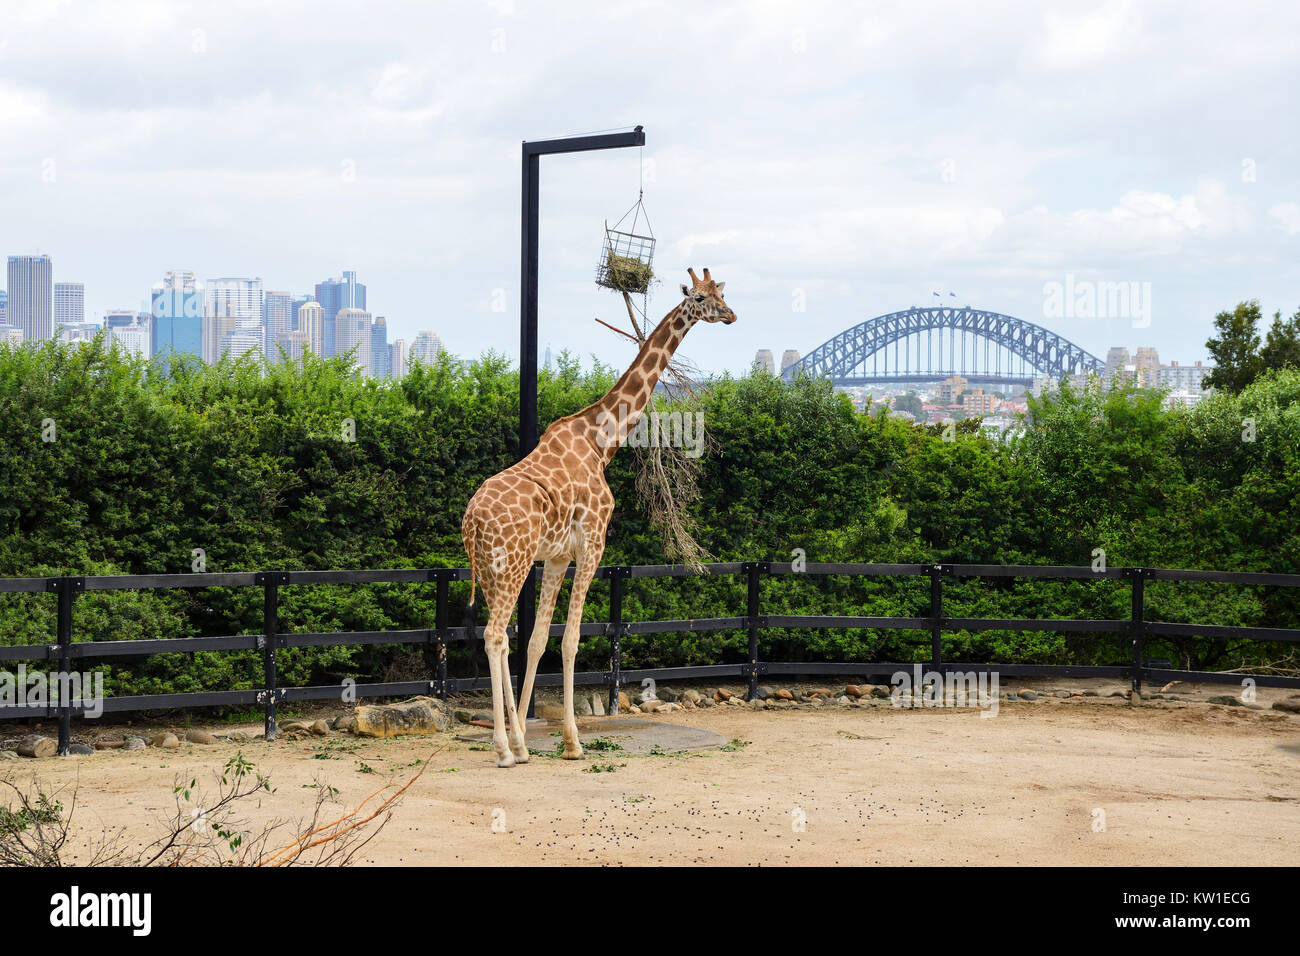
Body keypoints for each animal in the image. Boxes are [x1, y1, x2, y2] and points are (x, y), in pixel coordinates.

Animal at [462, 267, 738, 770]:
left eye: (722, 293)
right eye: (701, 297)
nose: (730, 315)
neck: (601, 442)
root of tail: (470, 520)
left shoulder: (555, 557)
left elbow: (537, 640)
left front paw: (530, 737)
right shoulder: (593, 543)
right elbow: (570, 639)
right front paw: (572, 742)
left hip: (491, 570)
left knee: (503, 637)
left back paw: (515, 745)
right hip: (511, 565)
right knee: (493, 636)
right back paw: (503, 751)